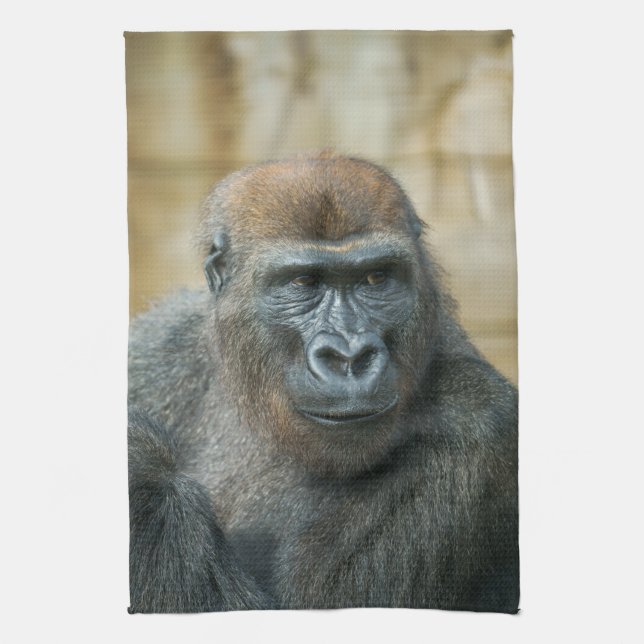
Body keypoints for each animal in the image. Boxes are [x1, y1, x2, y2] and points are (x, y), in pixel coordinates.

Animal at [127, 152, 519, 614]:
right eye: (304, 282)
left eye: (376, 278)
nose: (349, 356)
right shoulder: (156, 344)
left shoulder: (479, 423)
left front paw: (139, 467)